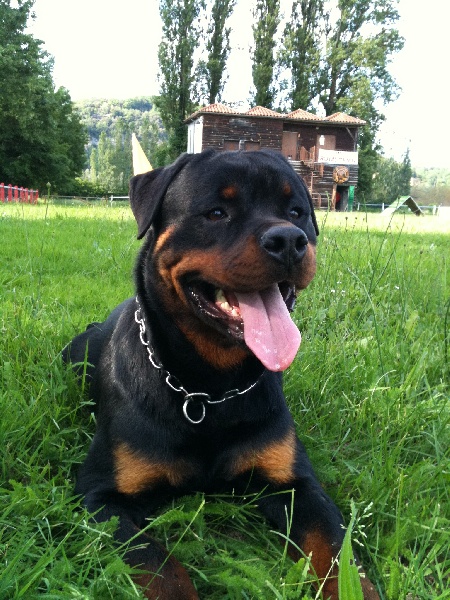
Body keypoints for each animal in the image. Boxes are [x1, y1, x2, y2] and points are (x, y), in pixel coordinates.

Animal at [63, 149, 380, 599]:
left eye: (297, 212)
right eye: (216, 212)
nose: (289, 240)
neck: (210, 388)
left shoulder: (297, 485)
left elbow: (337, 551)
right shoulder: (100, 497)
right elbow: (162, 567)